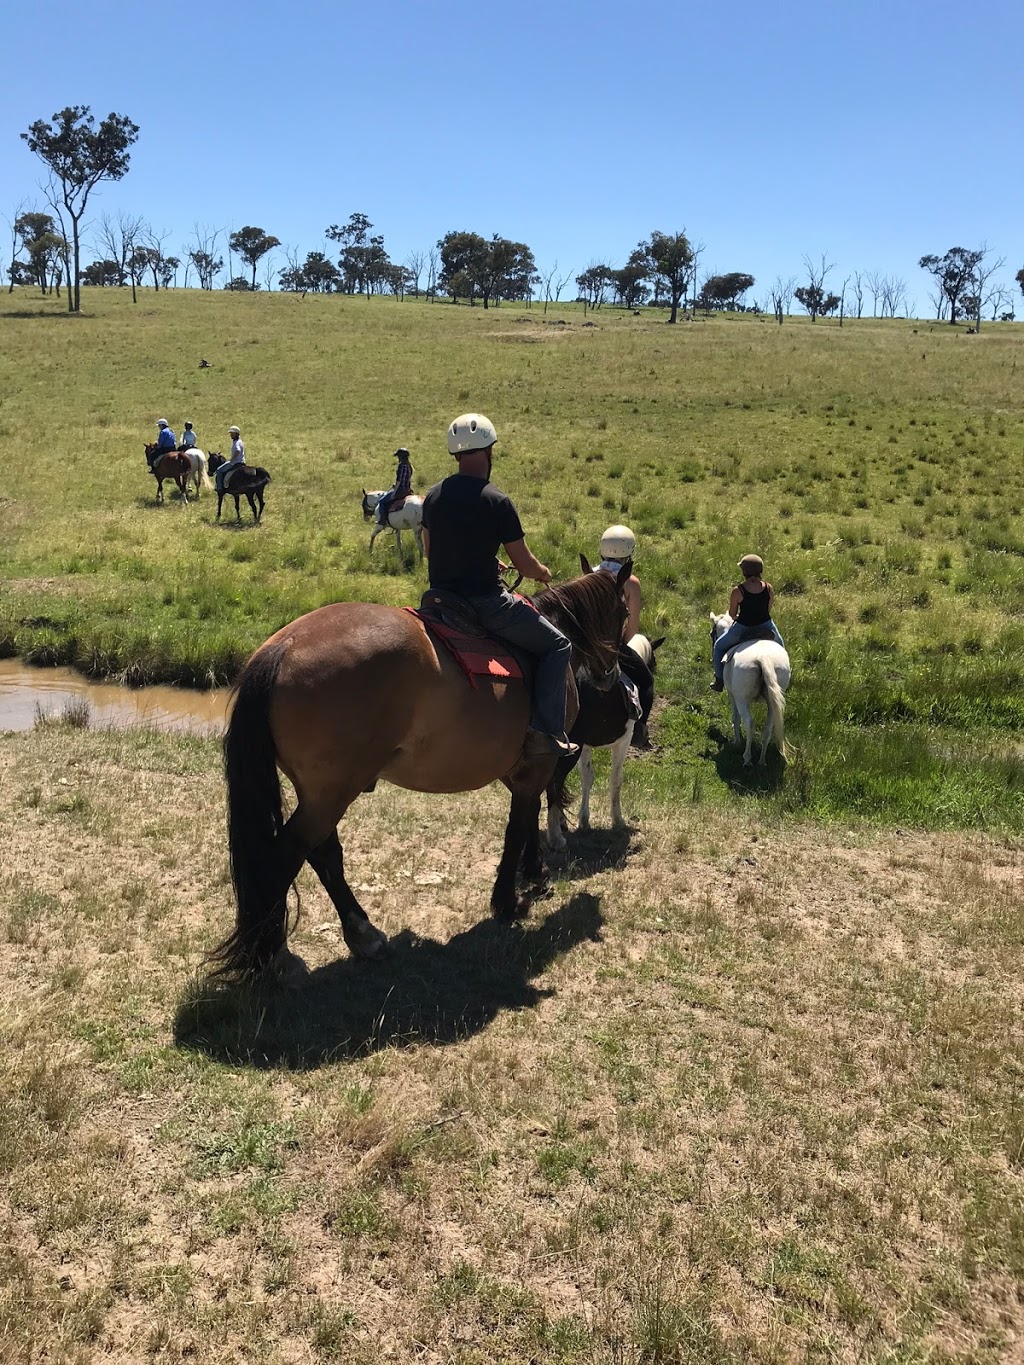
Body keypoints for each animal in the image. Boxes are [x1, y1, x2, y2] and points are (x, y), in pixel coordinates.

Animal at [204, 556, 630, 982]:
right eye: (624, 612)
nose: (609, 675)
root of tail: (283, 647)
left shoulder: (520, 769)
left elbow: (529, 819)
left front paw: (534, 873)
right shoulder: (539, 762)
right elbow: (519, 825)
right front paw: (508, 900)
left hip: (321, 793)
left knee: (323, 854)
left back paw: (362, 935)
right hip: (331, 794)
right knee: (285, 856)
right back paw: (278, 955)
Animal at [715, 616, 791, 769]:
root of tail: (764, 659)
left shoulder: (732, 696)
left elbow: (735, 718)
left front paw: (737, 742)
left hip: (742, 700)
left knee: (749, 723)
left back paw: (747, 758)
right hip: (772, 702)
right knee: (768, 729)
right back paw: (761, 761)